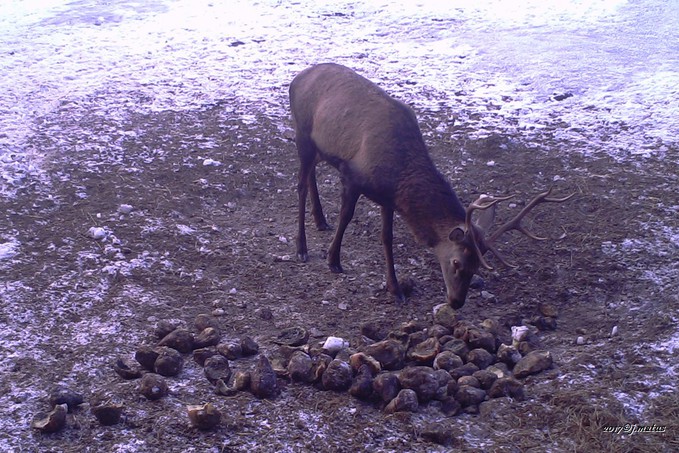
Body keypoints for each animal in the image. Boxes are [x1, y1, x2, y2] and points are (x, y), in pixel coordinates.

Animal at [286, 62, 572, 308]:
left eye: (477, 267)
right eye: (456, 262)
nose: (456, 302)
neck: (400, 174)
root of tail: (296, 79)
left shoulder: (387, 197)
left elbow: (386, 237)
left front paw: (395, 288)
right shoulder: (351, 175)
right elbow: (346, 217)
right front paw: (333, 260)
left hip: (319, 147)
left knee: (310, 176)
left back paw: (320, 220)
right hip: (303, 134)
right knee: (299, 184)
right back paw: (301, 247)